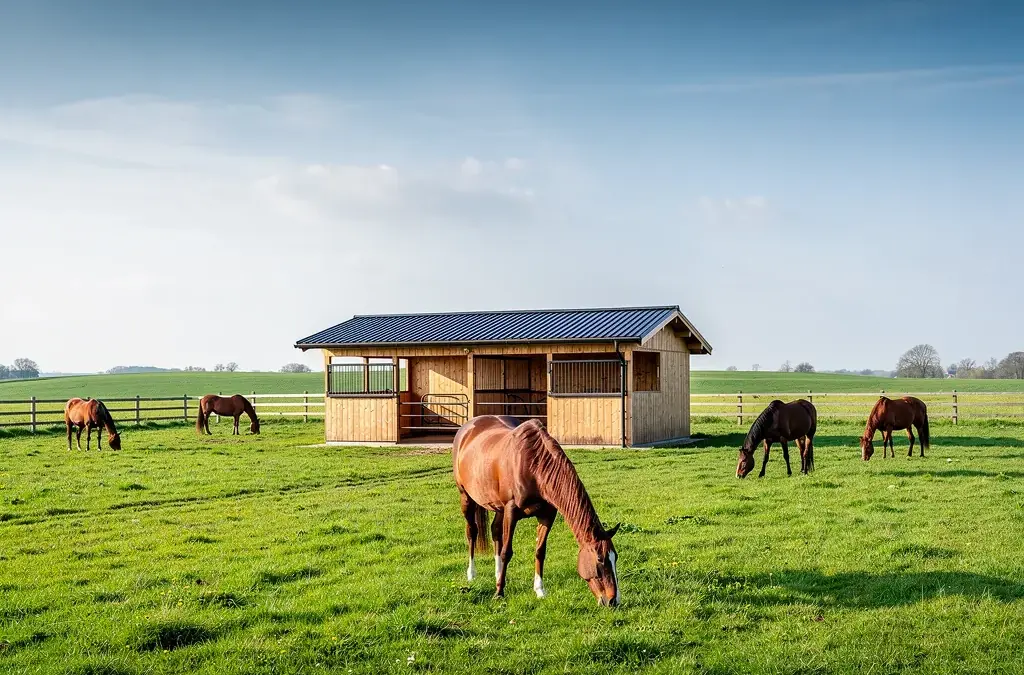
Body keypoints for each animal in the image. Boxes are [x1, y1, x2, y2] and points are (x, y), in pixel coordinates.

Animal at [453, 415, 621, 607]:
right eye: (600, 560)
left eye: (615, 557)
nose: (613, 600)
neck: (534, 464)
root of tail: (467, 427)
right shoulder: (511, 511)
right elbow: (506, 552)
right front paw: (499, 593)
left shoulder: (547, 515)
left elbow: (540, 551)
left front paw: (540, 590)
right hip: (466, 497)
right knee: (472, 531)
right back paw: (471, 574)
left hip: (498, 507)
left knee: (495, 531)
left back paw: (497, 574)